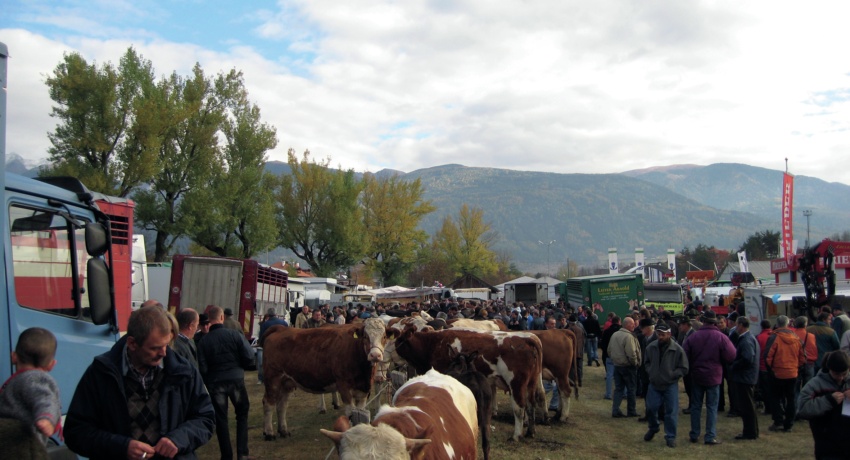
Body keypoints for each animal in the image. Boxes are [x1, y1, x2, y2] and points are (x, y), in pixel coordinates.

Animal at [384, 328, 544, 442]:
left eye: (397, 340)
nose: (383, 353)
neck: (432, 344)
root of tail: (527, 338)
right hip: (532, 382)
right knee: (531, 405)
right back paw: (531, 432)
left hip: (516, 383)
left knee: (519, 408)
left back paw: (516, 435)